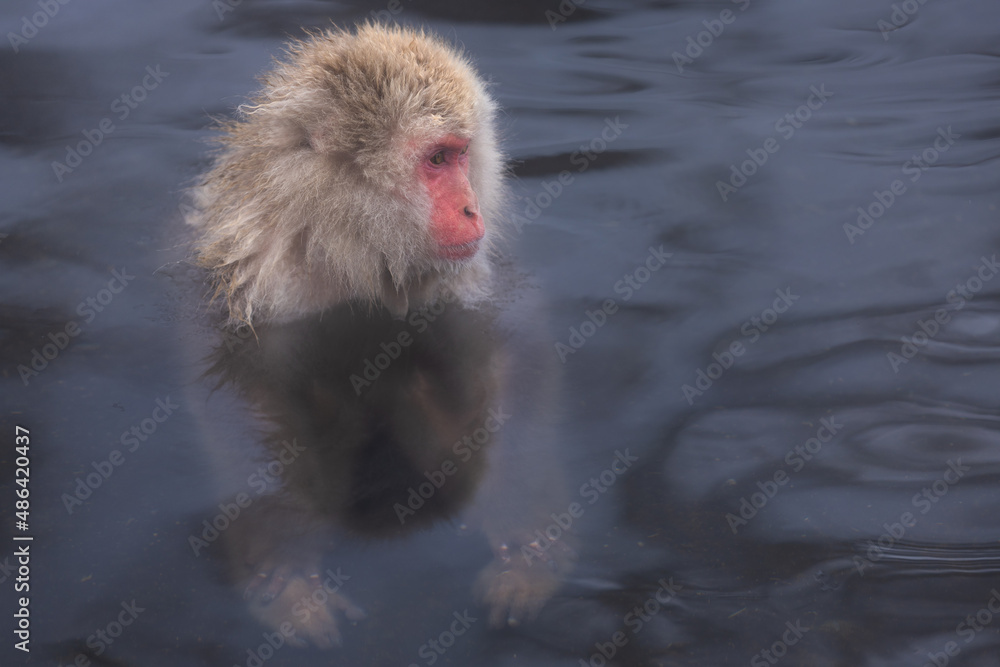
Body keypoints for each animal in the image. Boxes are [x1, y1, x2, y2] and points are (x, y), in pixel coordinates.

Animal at [183, 23, 574, 650]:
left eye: (462, 154)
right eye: (436, 159)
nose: (472, 209)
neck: (344, 244)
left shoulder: (462, 283)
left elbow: (519, 360)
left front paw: (527, 545)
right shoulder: (260, 294)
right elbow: (245, 403)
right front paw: (286, 576)